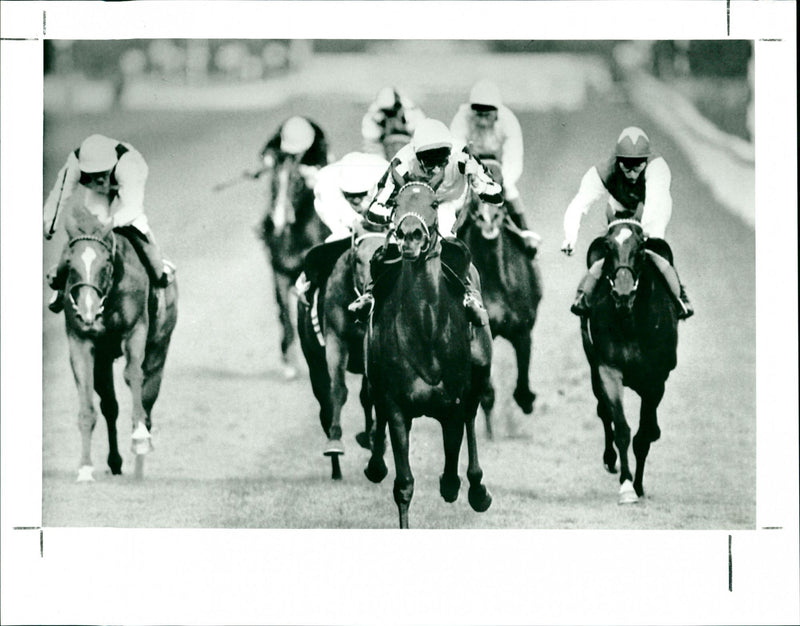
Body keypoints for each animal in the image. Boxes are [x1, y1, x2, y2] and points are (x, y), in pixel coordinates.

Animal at [58, 204, 178, 478]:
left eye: (106, 262)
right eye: (70, 263)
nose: (87, 311)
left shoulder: (135, 331)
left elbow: (133, 375)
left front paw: (140, 438)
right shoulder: (82, 342)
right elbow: (89, 404)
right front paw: (85, 467)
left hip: (159, 348)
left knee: (147, 399)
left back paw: (140, 460)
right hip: (103, 359)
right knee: (110, 407)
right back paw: (115, 462)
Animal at [298, 219, 390, 478]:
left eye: (386, 256)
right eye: (358, 258)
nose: (370, 291)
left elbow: (371, 394)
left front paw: (374, 438)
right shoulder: (336, 340)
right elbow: (338, 390)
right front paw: (335, 441)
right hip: (314, 360)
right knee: (324, 403)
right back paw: (336, 468)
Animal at [364, 180, 494, 528]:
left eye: (434, 203)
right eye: (396, 202)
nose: (409, 235)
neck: (425, 326)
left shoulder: (453, 403)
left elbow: (452, 462)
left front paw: (458, 487)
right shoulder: (396, 404)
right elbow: (404, 483)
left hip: (480, 368)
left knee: (473, 417)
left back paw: (478, 489)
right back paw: (375, 464)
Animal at [460, 168, 540, 436]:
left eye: (501, 186)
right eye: (474, 188)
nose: (489, 219)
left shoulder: (522, 329)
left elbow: (523, 381)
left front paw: (527, 401)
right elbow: (486, 393)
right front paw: (490, 435)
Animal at [580, 218, 680, 502]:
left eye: (641, 247)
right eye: (608, 246)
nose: (623, 293)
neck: (631, 322)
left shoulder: (655, 379)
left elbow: (643, 436)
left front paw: (638, 485)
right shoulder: (608, 370)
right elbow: (622, 429)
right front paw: (626, 485)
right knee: (604, 412)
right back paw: (609, 459)